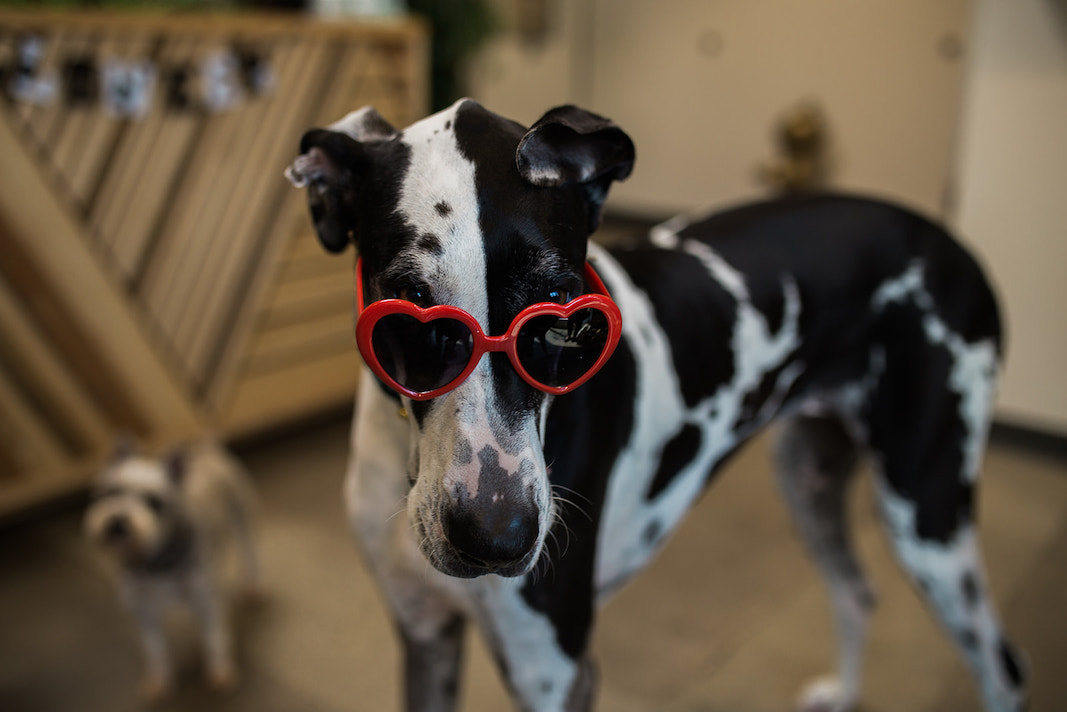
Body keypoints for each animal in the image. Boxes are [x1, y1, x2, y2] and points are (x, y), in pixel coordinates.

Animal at [83, 439, 258, 700]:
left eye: (154, 502)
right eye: (111, 491)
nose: (118, 522)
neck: (156, 562)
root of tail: (208, 449)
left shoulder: (205, 601)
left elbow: (213, 637)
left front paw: (220, 672)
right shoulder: (143, 611)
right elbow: (155, 649)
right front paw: (160, 680)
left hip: (243, 518)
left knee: (250, 554)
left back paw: (252, 585)